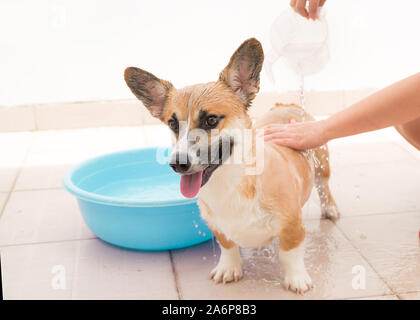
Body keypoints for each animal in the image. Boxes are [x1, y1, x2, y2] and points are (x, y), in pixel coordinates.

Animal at [124, 38, 338, 294]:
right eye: (173, 124)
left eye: (211, 120)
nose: (177, 164)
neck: (228, 182)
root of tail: (285, 104)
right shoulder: (217, 226)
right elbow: (228, 247)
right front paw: (229, 268)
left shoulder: (293, 225)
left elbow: (290, 254)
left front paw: (296, 279)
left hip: (322, 163)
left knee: (324, 186)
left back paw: (330, 208)